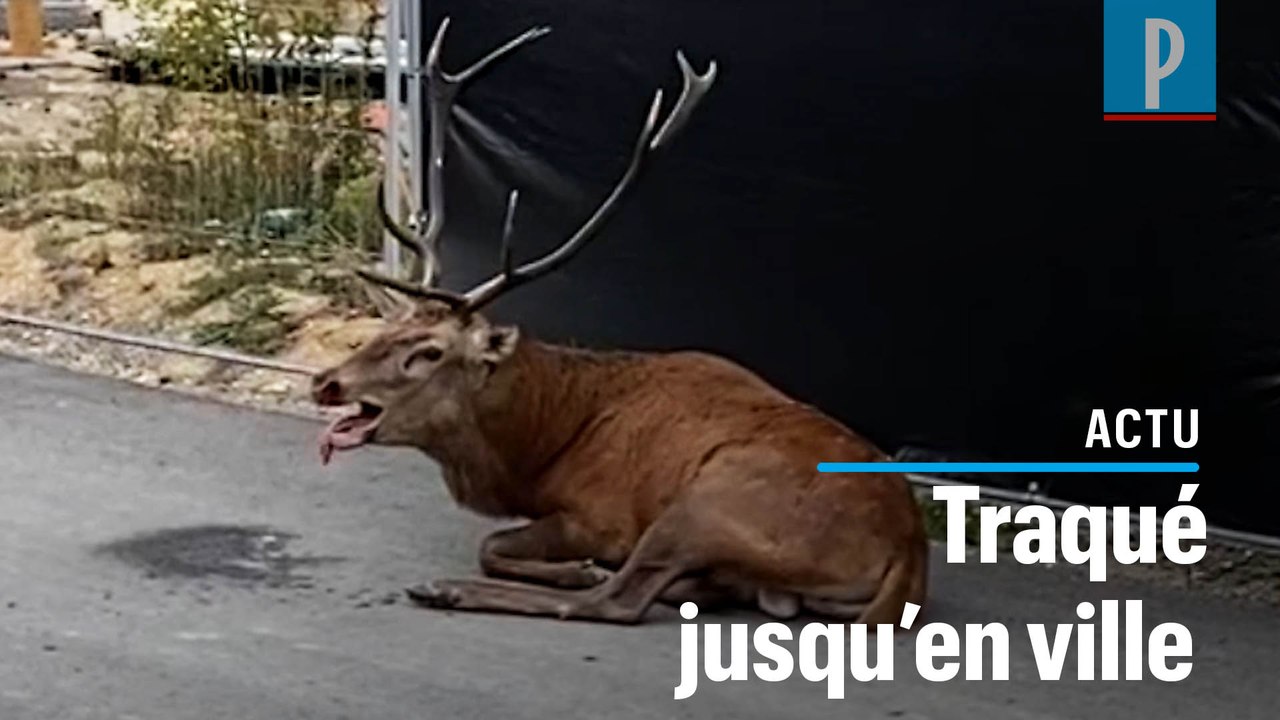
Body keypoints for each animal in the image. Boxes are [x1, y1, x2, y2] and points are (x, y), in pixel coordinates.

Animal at [311, 18, 928, 625]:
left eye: (430, 351)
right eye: (387, 331)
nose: (325, 382)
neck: (539, 448)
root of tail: (908, 556)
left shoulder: (602, 516)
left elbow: (494, 547)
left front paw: (576, 567)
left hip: (708, 502)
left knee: (619, 600)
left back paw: (453, 588)